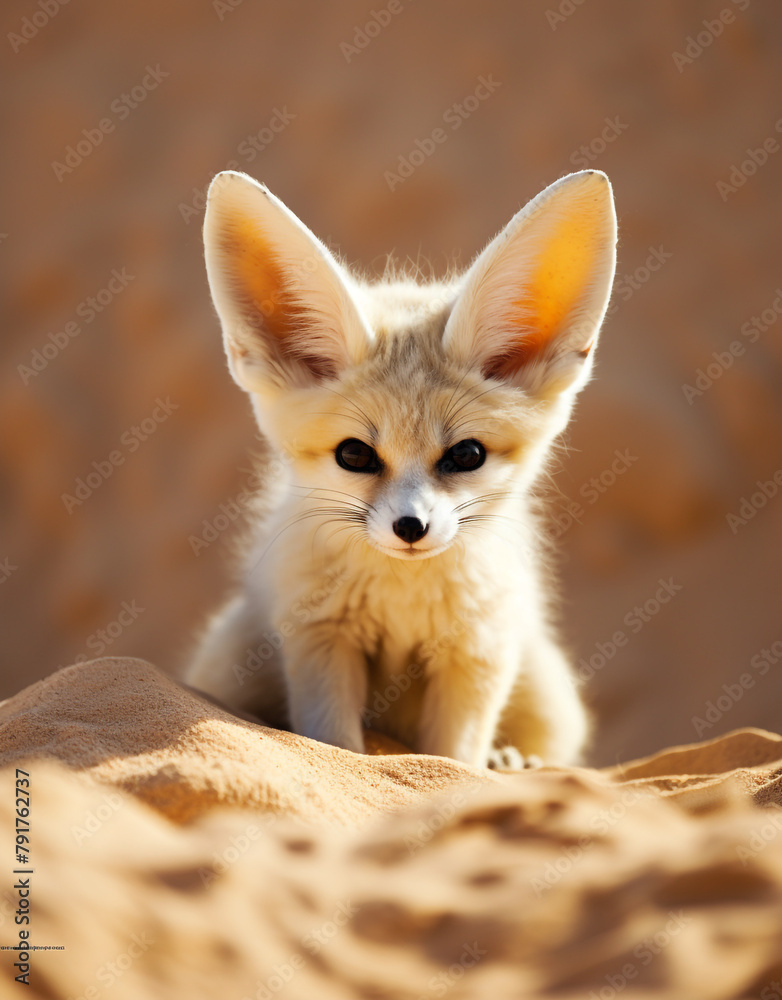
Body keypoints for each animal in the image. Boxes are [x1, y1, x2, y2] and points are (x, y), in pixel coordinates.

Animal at [185, 168, 617, 769]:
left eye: (466, 455)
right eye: (354, 455)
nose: (411, 527)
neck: (402, 603)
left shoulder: (477, 655)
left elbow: (454, 761)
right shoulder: (321, 639)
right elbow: (336, 751)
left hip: (544, 689)